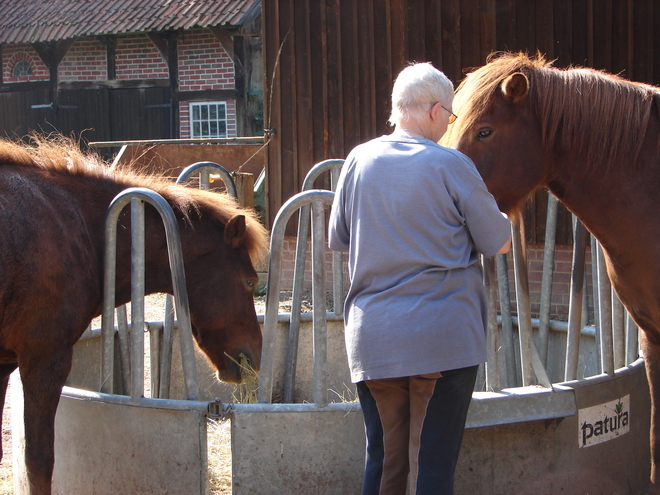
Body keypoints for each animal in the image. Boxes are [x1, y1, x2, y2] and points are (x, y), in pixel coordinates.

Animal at [0, 134, 270, 494]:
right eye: (250, 280)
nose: (254, 357)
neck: (75, 226)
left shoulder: (3, 364)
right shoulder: (45, 359)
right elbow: (39, 462)